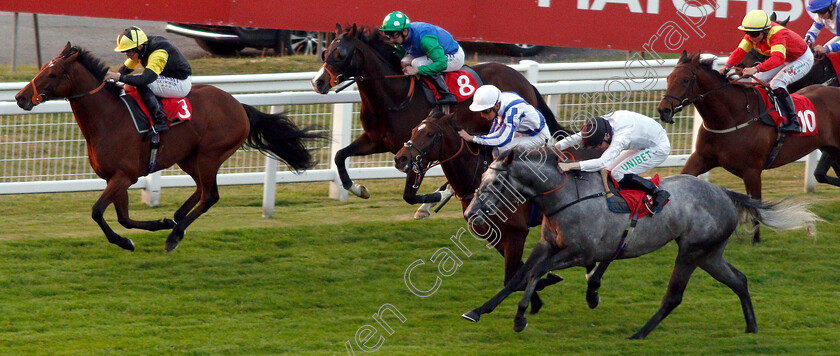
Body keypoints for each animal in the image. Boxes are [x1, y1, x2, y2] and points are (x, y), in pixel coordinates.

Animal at [17, 43, 324, 252]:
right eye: (42, 68)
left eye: (52, 73)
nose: (21, 97)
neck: (108, 118)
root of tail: (240, 106)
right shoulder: (114, 178)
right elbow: (123, 217)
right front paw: (155, 225)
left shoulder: (125, 175)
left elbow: (97, 212)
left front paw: (127, 241)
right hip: (189, 157)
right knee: (200, 190)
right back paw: (177, 220)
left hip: (210, 155)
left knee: (210, 195)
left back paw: (175, 235)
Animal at [310, 24, 564, 206]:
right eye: (325, 51)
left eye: (340, 53)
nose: (317, 81)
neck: (396, 97)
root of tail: (524, 80)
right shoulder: (377, 141)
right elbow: (340, 156)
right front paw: (358, 188)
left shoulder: (415, 151)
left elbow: (410, 195)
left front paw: (437, 198)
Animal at [462, 145, 816, 340]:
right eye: (482, 179)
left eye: (495, 184)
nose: (470, 212)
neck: (565, 198)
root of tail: (726, 193)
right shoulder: (548, 246)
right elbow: (518, 277)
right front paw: (478, 310)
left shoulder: (581, 252)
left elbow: (535, 275)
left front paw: (520, 317)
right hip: (710, 254)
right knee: (739, 280)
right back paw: (751, 328)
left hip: (692, 251)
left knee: (673, 296)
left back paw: (639, 334)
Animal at [656, 52, 840, 242]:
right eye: (669, 78)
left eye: (685, 80)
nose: (663, 110)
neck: (732, 116)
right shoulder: (701, 158)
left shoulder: (751, 171)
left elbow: (756, 206)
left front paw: (756, 240)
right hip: (831, 149)